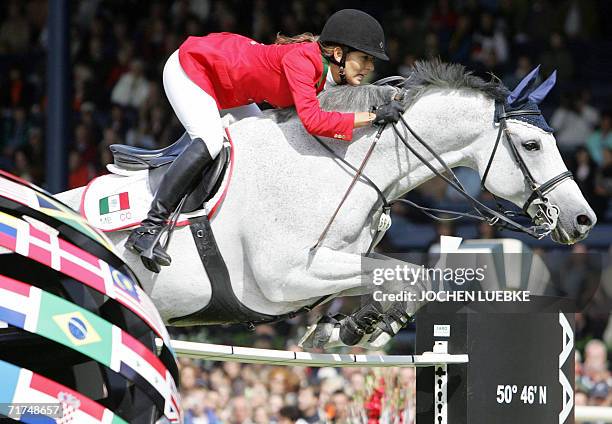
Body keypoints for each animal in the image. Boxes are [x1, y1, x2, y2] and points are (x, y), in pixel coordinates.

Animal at [56, 61, 592, 350]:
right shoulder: (285, 277)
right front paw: (360, 329)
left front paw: (351, 328)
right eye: (531, 145)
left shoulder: (337, 262)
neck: (339, 164)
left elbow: (409, 276)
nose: (583, 219)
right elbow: (408, 274)